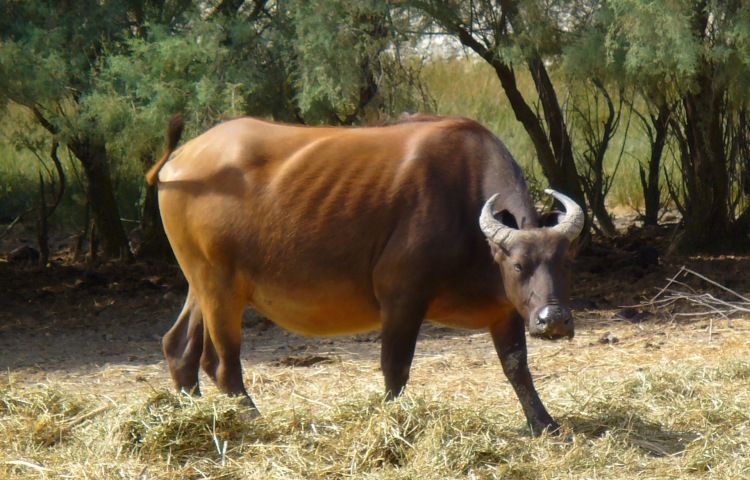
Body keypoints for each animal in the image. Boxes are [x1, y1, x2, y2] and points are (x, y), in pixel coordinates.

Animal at [147, 112, 588, 436]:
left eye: (567, 261)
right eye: (518, 265)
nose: (554, 319)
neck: (462, 202)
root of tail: (181, 158)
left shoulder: (506, 310)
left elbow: (517, 367)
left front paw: (545, 423)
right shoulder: (402, 296)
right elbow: (396, 366)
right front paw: (394, 421)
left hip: (201, 284)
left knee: (180, 348)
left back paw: (192, 416)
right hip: (219, 288)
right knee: (222, 364)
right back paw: (255, 420)